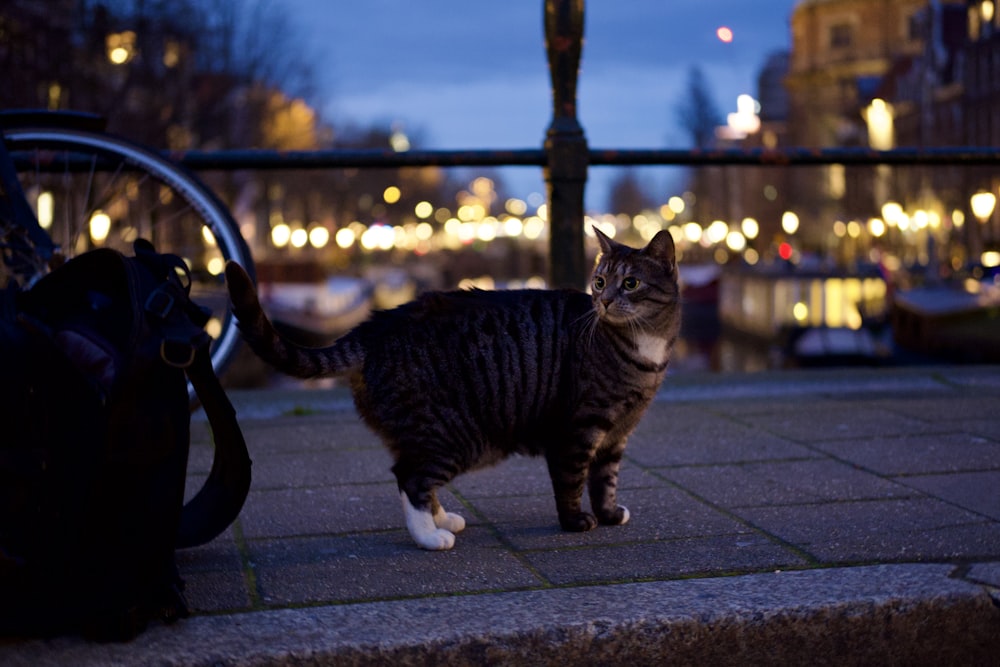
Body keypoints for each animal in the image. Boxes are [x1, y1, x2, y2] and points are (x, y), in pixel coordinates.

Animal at [226, 227, 680, 552]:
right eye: (600, 281)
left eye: (631, 283)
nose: (603, 301)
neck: (644, 349)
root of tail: (376, 325)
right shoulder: (578, 430)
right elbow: (572, 480)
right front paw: (576, 523)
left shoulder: (618, 433)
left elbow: (606, 478)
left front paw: (609, 513)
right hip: (455, 434)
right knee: (409, 477)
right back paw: (430, 537)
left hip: (431, 433)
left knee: (414, 475)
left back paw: (442, 520)